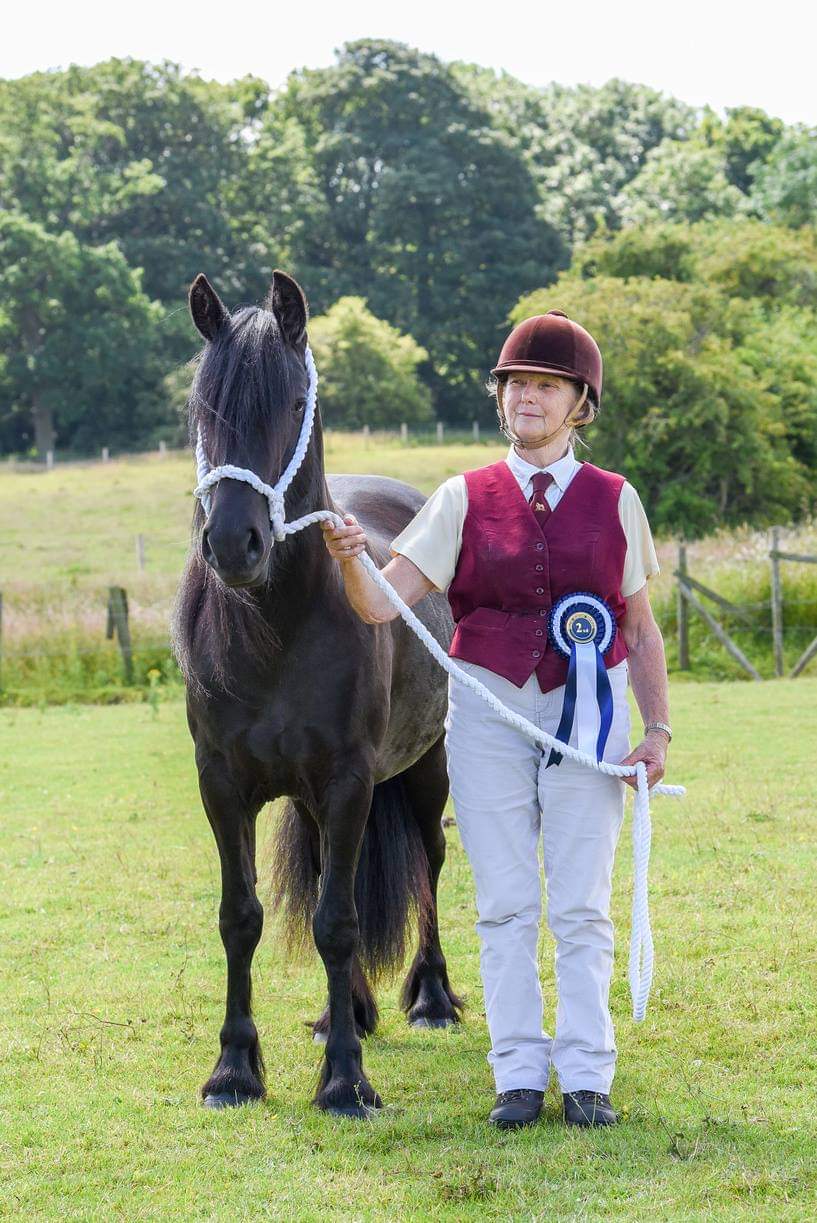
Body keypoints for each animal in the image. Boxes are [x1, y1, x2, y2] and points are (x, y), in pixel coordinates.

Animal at [172, 272, 462, 1115]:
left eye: (295, 401)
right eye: (203, 405)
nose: (233, 543)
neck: (277, 627)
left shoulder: (347, 781)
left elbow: (337, 920)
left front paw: (343, 1081)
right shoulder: (224, 785)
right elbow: (241, 916)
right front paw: (234, 1069)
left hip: (423, 769)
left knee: (428, 861)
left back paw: (430, 998)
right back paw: (350, 1009)